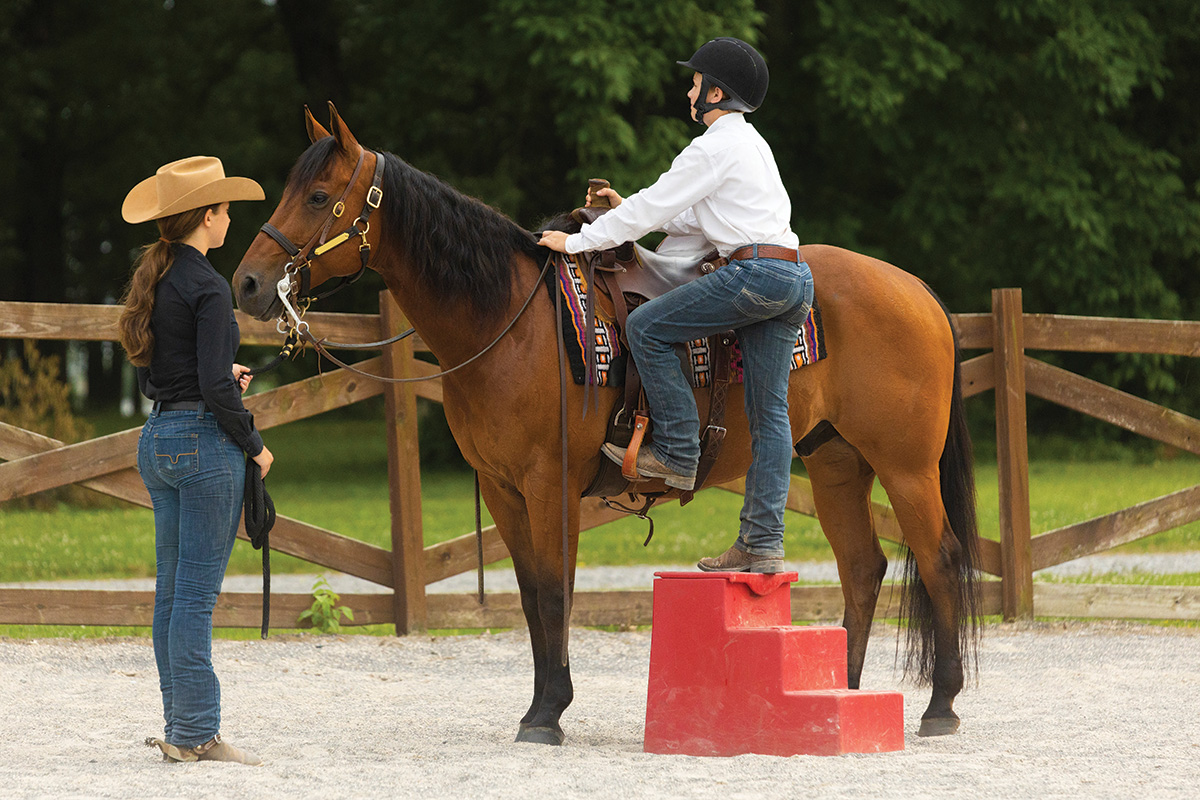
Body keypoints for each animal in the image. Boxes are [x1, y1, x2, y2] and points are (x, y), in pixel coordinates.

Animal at [236, 104, 984, 743]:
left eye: (317, 196)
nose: (247, 283)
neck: (509, 320)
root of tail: (918, 289)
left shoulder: (550, 484)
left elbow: (554, 590)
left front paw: (549, 713)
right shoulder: (503, 489)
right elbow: (531, 595)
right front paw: (538, 707)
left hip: (906, 467)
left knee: (941, 560)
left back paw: (942, 705)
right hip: (835, 462)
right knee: (862, 567)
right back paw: (844, 695)